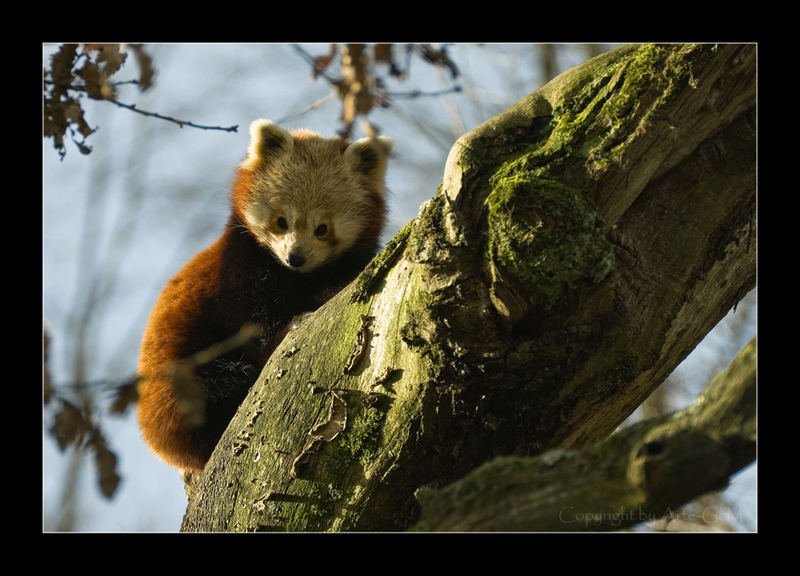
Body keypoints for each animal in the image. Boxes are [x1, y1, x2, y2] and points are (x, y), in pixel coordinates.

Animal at [138, 120, 394, 476]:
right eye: (282, 221)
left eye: (323, 228)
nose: (295, 257)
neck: (298, 278)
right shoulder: (240, 265)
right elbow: (252, 321)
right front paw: (286, 328)